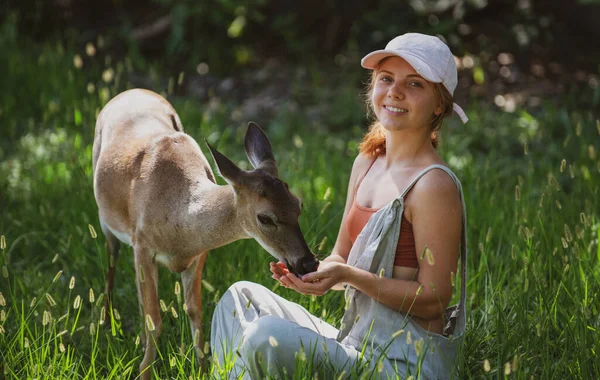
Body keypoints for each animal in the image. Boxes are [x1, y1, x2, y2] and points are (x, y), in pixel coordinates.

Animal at [92, 88, 318, 378]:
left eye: (298, 205)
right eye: (265, 218)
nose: (309, 263)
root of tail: (131, 91)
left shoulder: (199, 254)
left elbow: (194, 311)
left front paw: (200, 367)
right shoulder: (142, 245)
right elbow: (156, 320)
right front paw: (144, 370)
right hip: (105, 220)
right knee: (111, 265)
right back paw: (106, 323)